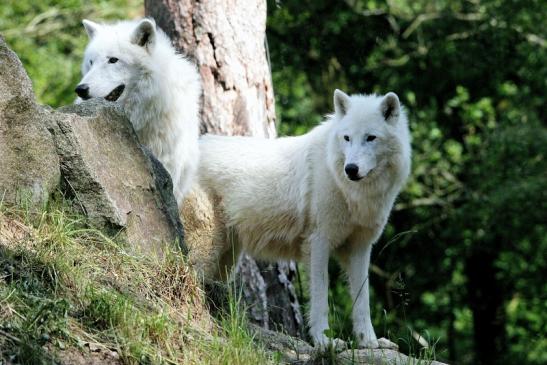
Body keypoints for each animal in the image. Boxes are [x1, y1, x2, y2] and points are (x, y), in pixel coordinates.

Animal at [184, 89, 412, 348]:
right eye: (347, 138)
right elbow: (320, 298)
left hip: (226, 258)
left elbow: (363, 301)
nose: (351, 169)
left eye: (371, 138)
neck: (350, 192)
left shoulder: (360, 248)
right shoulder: (318, 243)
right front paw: (324, 342)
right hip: (207, 248)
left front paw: (370, 343)